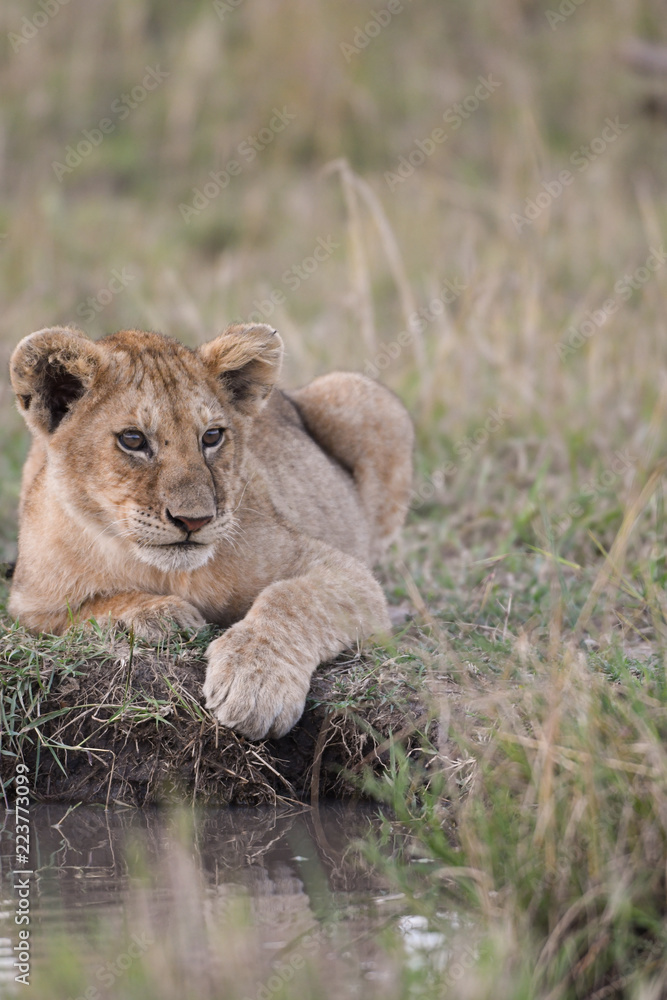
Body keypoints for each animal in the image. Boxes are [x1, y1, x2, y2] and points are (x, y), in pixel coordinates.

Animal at [8, 323, 413, 739]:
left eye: (212, 436)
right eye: (133, 440)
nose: (194, 520)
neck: (162, 571)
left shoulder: (344, 571)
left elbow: (290, 599)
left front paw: (255, 682)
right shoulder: (29, 605)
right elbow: (88, 609)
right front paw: (161, 616)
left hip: (361, 395)